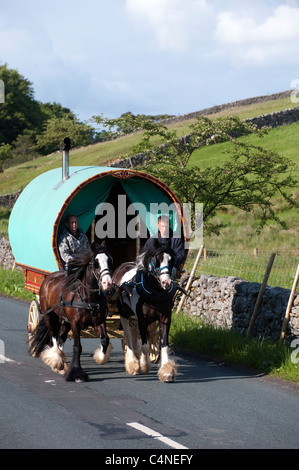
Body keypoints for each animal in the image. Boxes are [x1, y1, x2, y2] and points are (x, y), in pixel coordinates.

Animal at [29, 242, 113, 382]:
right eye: (94, 263)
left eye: (109, 260)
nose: (108, 283)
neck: (88, 299)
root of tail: (49, 278)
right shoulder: (75, 324)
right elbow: (77, 347)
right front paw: (77, 373)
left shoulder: (99, 322)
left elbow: (105, 339)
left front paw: (101, 357)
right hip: (49, 316)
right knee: (54, 337)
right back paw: (56, 360)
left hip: (65, 320)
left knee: (61, 336)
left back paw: (61, 361)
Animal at [112, 239, 184, 382]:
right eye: (156, 260)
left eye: (171, 260)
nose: (166, 282)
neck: (155, 292)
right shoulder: (142, 320)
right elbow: (145, 346)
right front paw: (144, 365)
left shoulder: (165, 318)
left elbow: (164, 346)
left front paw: (166, 372)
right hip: (124, 315)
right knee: (128, 338)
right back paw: (132, 364)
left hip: (134, 318)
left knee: (135, 337)